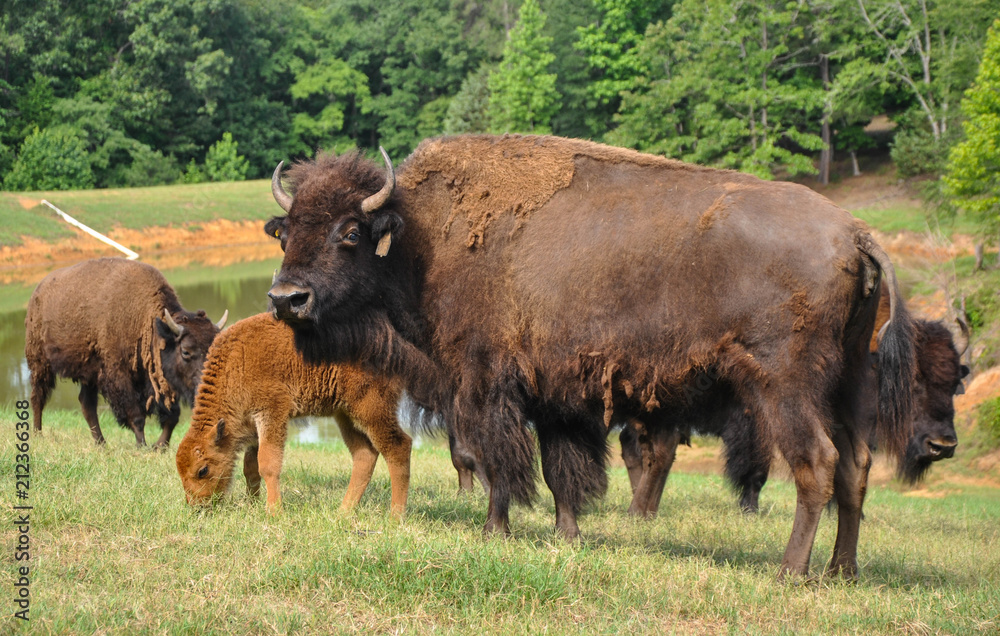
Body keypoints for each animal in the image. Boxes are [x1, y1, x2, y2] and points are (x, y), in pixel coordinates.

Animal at [23, 258, 229, 448]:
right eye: (185, 351)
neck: (146, 321)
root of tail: (36, 294)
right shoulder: (120, 377)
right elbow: (136, 416)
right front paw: (142, 446)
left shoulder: (160, 381)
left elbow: (172, 417)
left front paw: (159, 446)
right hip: (40, 364)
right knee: (37, 397)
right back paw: (37, 434)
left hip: (88, 373)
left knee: (86, 404)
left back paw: (101, 443)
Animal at [176, 314, 410, 516]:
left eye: (202, 470)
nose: (198, 507)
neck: (233, 366)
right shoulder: (253, 426)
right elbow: (250, 467)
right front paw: (252, 504)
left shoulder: (271, 413)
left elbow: (267, 464)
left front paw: (274, 512)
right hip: (345, 415)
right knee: (365, 455)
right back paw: (343, 512)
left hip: (371, 409)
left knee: (399, 447)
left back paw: (395, 517)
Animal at [264, 135, 916, 580]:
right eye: (286, 231)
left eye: (350, 232)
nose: (286, 298)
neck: (420, 236)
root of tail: (856, 233)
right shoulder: (559, 396)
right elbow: (561, 470)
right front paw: (567, 535)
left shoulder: (485, 383)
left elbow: (498, 460)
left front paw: (495, 531)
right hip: (850, 381)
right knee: (856, 467)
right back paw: (841, 571)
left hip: (783, 385)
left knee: (817, 463)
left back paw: (789, 571)